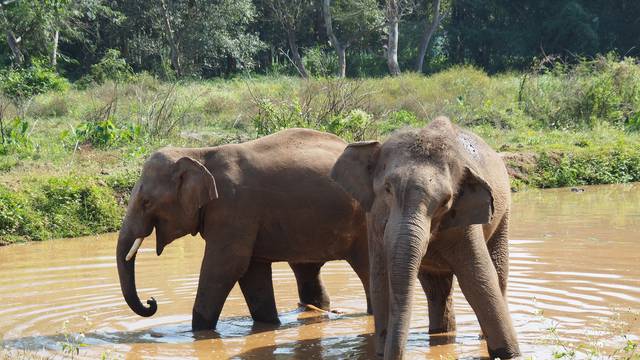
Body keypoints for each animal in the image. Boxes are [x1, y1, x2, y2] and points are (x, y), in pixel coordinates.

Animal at [116, 128, 370, 330]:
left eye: (146, 202)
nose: (151, 301)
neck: (198, 153)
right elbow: (251, 271)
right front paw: (269, 325)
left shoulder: (234, 208)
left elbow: (226, 266)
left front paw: (198, 333)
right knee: (306, 270)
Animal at [330, 116, 520, 358]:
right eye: (387, 189)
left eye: (445, 201)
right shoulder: (373, 219)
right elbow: (380, 281)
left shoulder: (466, 223)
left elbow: (478, 279)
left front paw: (512, 354)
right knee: (436, 290)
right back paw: (441, 333)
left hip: (504, 215)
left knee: (498, 272)